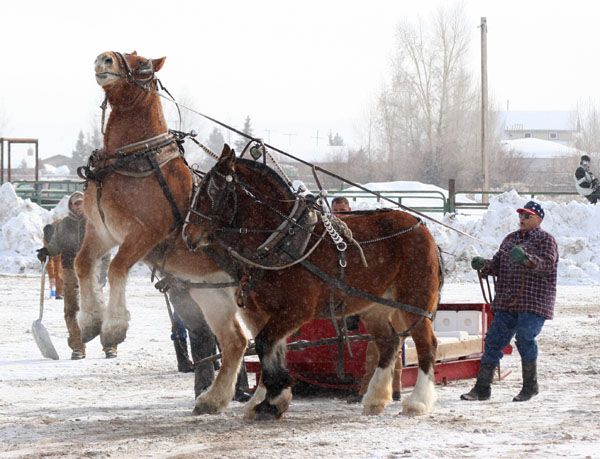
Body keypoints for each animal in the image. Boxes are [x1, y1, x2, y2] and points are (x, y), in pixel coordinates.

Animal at [185, 146, 442, 420]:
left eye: (212, 191)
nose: (187, 235)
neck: (282, 241)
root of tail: (422, 227)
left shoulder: (297, 310)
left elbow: (265, 344)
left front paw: (273, 398)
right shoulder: (266, 312)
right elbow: (271, 350)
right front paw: (271, 399)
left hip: (414, 301)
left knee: (427, 344)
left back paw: (417, 402)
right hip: (376, 306)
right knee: (389, 343)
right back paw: (375, 399)